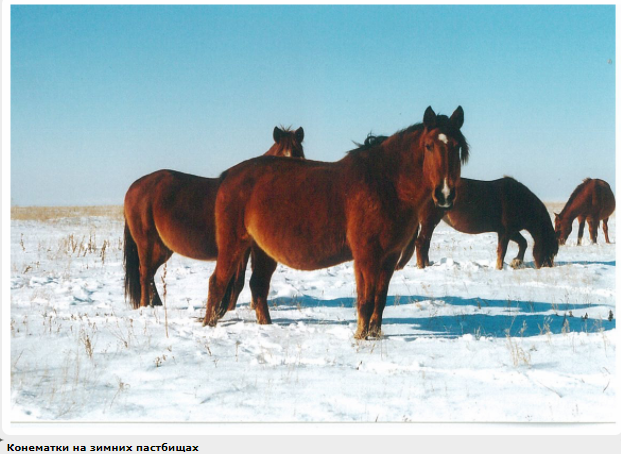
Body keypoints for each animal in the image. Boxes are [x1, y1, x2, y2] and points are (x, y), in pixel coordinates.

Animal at [122, 129, 304, 312]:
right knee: (144, 273)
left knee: (150, 273)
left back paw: (156, 303)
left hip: (162, 247)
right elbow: (237, 281)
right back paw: (146, 306)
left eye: (299, 156)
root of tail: (133, 187)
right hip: (146, 243)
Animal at [206, 107, 468, 340]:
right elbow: (366, 300)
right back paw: (209, 325)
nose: (445, 195)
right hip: (233, 245)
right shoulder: (366, 255)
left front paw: (374, 334)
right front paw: (360, 338)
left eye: (457, 147)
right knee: (217, 282)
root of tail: (228, 175)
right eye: (429, 146)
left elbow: (380, 299)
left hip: (261, 251)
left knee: (258, 286)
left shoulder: (389, 257)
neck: (386, 184)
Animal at [394, 176, 560, 270]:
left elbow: (523, 243)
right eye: (551, 249)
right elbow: (502, 250)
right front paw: (500, 268)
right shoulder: (506, 231)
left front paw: (515, 262)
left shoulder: (508, 231)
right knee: (421, 243)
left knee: (425, 244)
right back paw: (422, 267)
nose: (548, 267)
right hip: (430, 220)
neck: (519, 199)